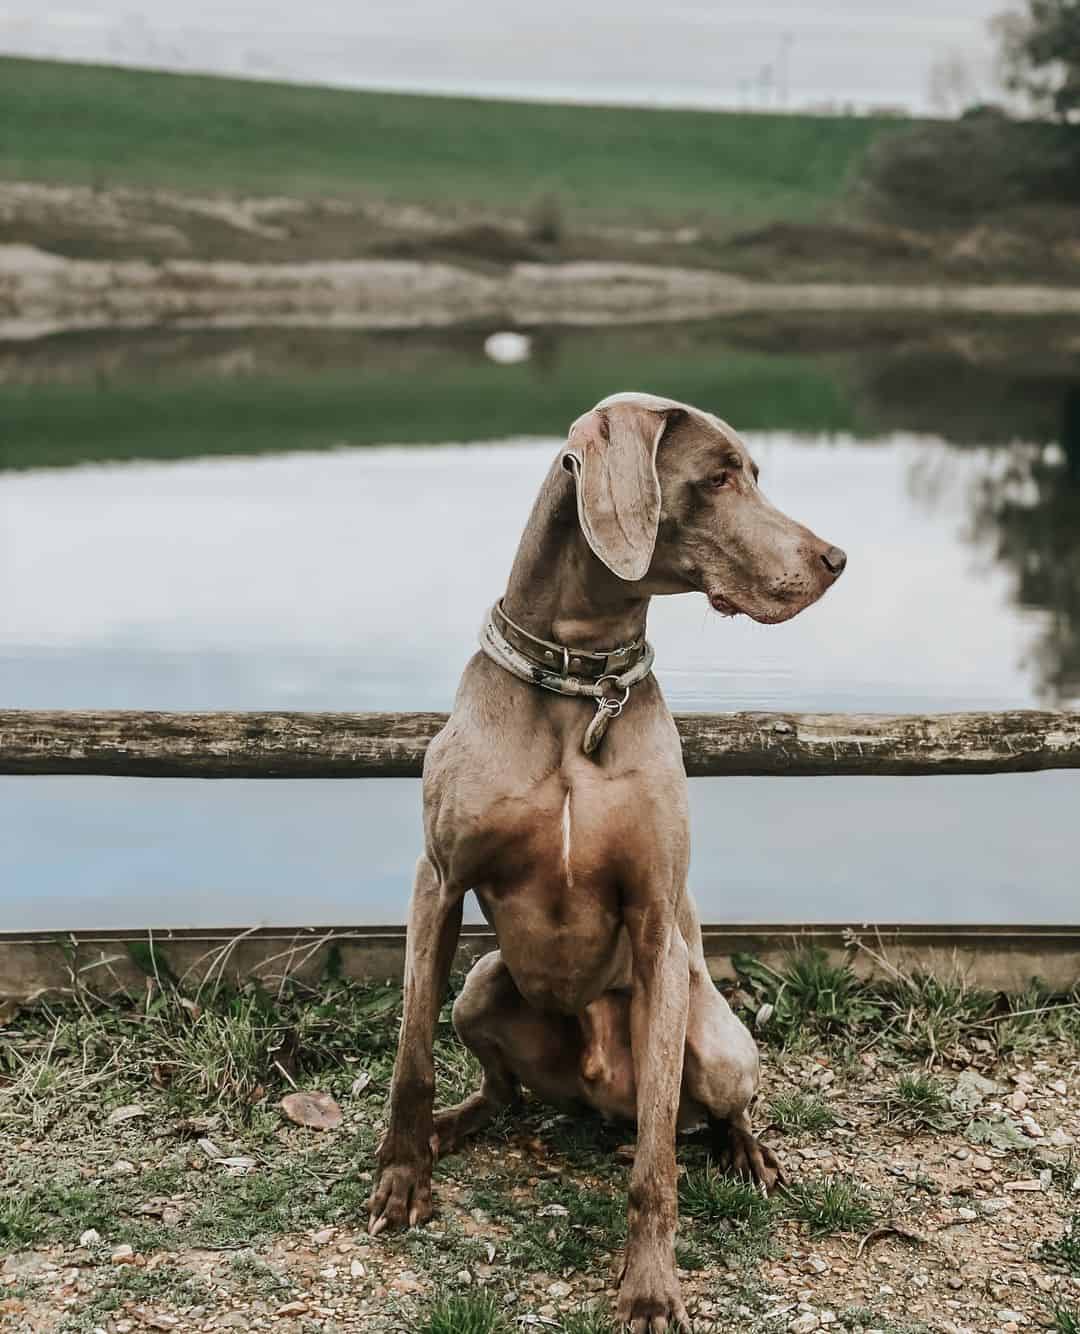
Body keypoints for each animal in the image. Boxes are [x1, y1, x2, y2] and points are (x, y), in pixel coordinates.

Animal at [365, 389, 848, 1328]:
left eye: (753, 472)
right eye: (720, 477)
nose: (836, 559)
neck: (580, 681)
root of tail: (595, 1092)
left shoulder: (656, 920)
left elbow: (657, 1159)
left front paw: (651, 1288)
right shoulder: (437, 882)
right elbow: (410, 1061)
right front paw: (403, 1178)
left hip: (720, 1043)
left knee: (713, 1109)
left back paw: (751, 1155)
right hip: (481, 987)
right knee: (501, 1087)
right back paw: (453, 1126)